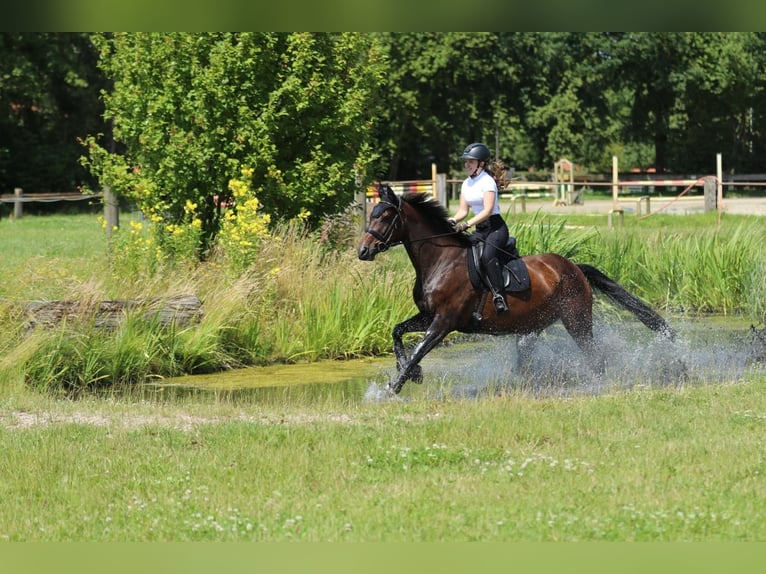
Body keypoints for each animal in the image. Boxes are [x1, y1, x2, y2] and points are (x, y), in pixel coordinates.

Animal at [357, 184, 676, 395]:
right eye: (372, 214)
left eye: (385, 217)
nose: (363, 251)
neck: (440, 261)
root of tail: (574, 267)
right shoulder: (427, 316)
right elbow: (397, 333)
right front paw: (411, 374)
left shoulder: (443, 322)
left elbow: (419, 349)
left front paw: (394, 386)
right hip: (532, 327)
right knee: (528, 360)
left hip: (576, 319)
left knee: (595, 356)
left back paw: (596, 385)